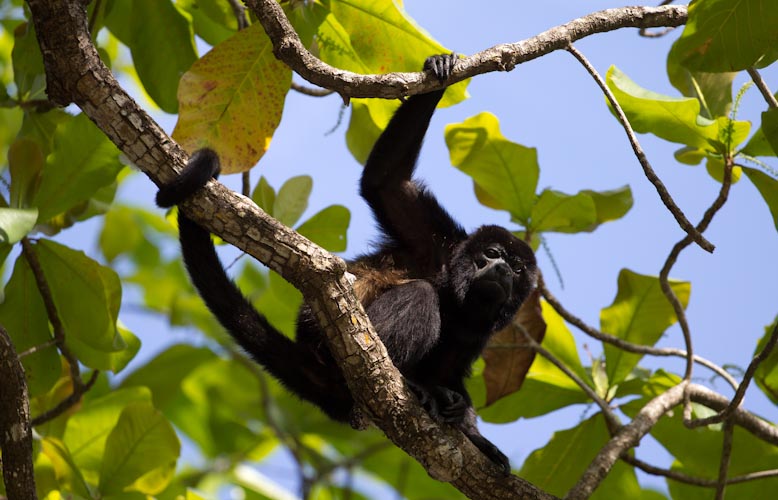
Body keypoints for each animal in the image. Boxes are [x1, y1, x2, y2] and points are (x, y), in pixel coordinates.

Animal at [155, 55, 536, 476]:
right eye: (492, 253)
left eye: (518, 268)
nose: (503, 269)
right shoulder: (436, 240)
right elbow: (385, 182)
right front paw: (440, 73)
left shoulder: (480, 331)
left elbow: (454, 367)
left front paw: (470, 428)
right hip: (328, 344)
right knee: (419, 296)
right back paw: (408, 383)